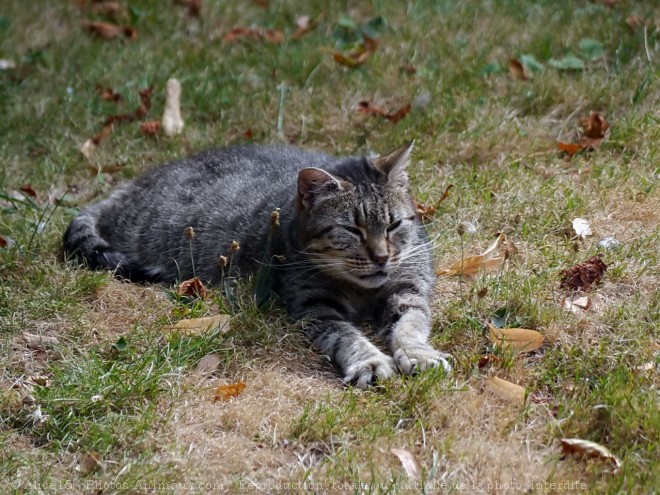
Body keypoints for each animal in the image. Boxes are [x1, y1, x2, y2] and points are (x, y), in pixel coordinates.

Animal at [63, 143, 454, 388]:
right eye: (351, 230)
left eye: (393, 225)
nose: (382, 257)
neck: (359, 290)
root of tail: (130, 185)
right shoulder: (315, 307)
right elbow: (347, 337)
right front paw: (370, 362)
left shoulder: (408, 289)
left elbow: (410, 325)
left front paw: (418, 355)